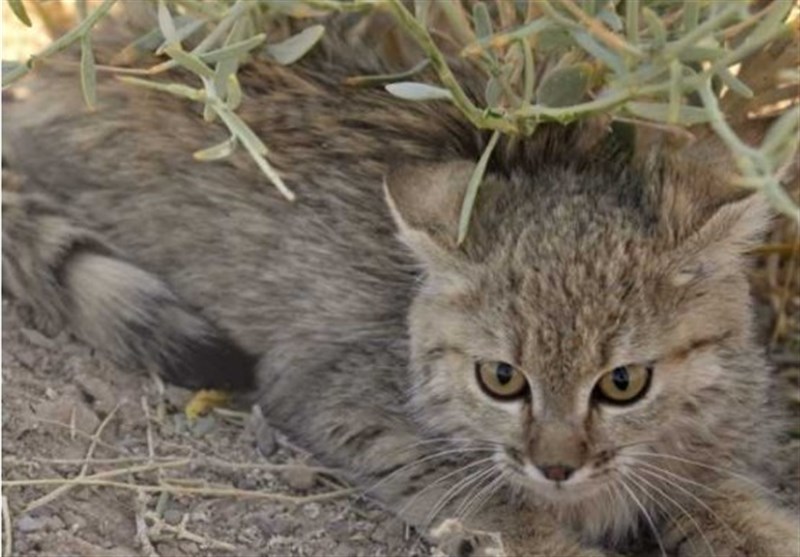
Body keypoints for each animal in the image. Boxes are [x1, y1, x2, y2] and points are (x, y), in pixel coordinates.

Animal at [1, 21, 800, 556]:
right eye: (501, 378)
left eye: (624, 383)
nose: (556, 466)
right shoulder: (341, 400)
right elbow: (497, 503)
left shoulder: (716, 451)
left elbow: (731, 502)